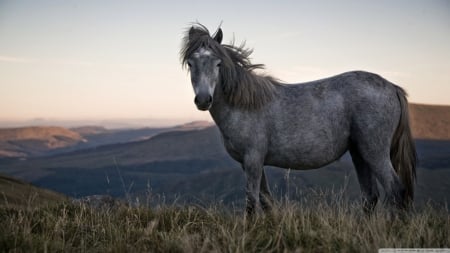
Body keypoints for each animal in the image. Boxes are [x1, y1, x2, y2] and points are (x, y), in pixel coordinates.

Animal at [180, 23, 418, 214]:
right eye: (191, 63)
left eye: (218, 63)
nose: (203, 99)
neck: (244, 105)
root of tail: (393, 87)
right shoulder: (250, 163)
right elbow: (266, 201)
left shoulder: (253, 160)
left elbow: (252, 203)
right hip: (360, 154)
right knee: (370, 197)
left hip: (375, 153)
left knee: (395, 191)